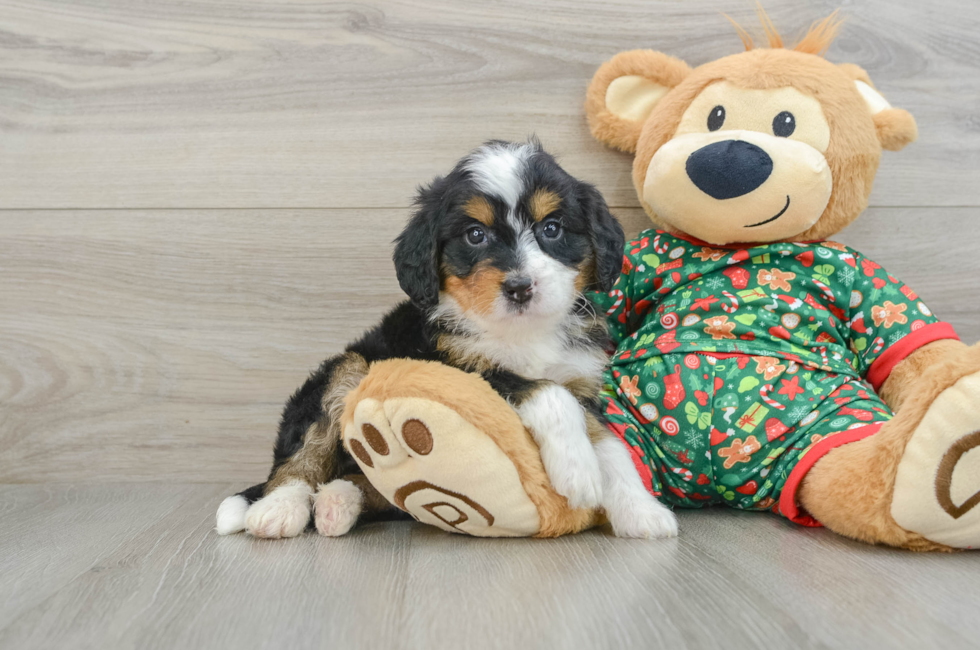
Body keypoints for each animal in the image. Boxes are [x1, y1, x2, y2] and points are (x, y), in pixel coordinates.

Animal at [217, 140, 676, 536]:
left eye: (552, 228)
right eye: (475, 235)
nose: (520, 287)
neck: (521, 331)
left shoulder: (581, 381)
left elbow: (612, 446)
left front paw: (641, 511)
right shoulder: (456, 367)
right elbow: (548, 392)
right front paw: (578, 471)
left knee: (377, 488)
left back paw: (337, 503)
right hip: (348, 367)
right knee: (298, 458)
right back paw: (278, 509)